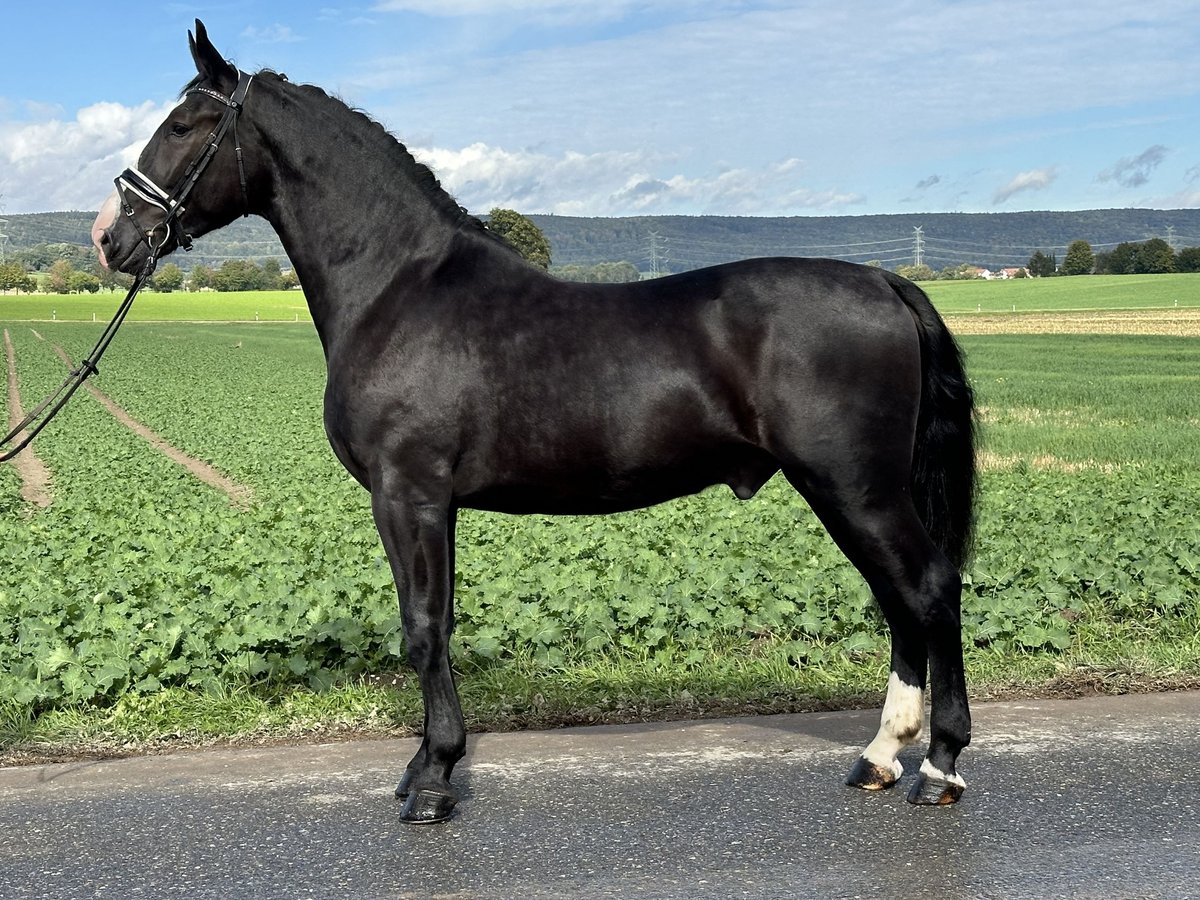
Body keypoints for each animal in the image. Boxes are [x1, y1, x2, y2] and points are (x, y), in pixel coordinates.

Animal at [91, 21, 974, 825]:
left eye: (183, 126)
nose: (109, 237)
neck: (399, 286)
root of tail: (884, 282)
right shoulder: (429, 503)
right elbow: (436, 623)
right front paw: (424, 766)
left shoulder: (407, 493)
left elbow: (423, 628)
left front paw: (434, 781)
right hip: (847, 490)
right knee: (900, 599)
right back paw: (879, 757)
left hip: (853, 485)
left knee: (927, 589)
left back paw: (939, 766)